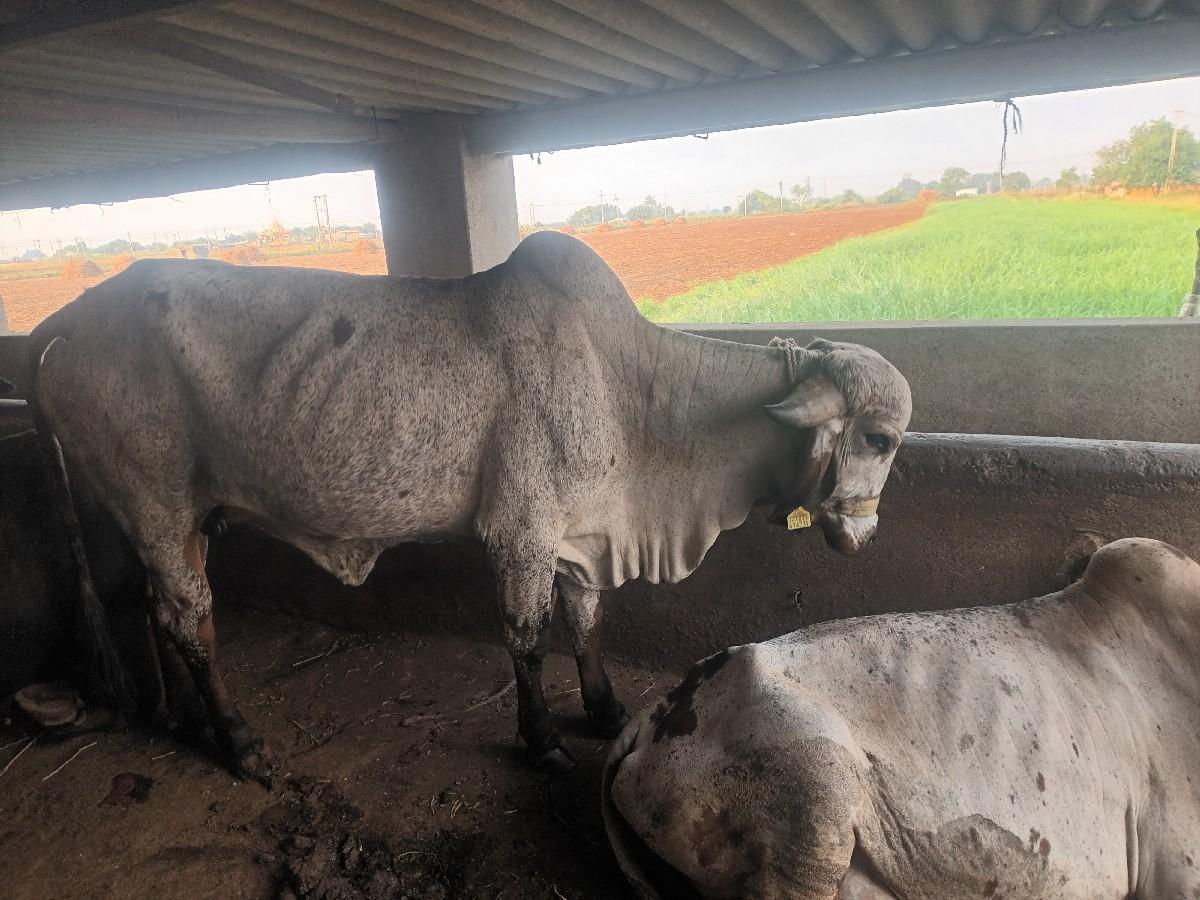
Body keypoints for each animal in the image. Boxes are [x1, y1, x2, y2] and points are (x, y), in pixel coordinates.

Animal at [28, 231, 911, 781]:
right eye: (879, 437)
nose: (865, 535)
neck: (634, 391)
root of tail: (60, 326)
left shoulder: (579, 534)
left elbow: (587, 622)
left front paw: (603, 708)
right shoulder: (519, 533)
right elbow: (527, 638)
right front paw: (543, 741)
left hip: (155, 518)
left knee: (147, 607)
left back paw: (181, 719)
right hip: (155, 504)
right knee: (189, 618)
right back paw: (238, 741)